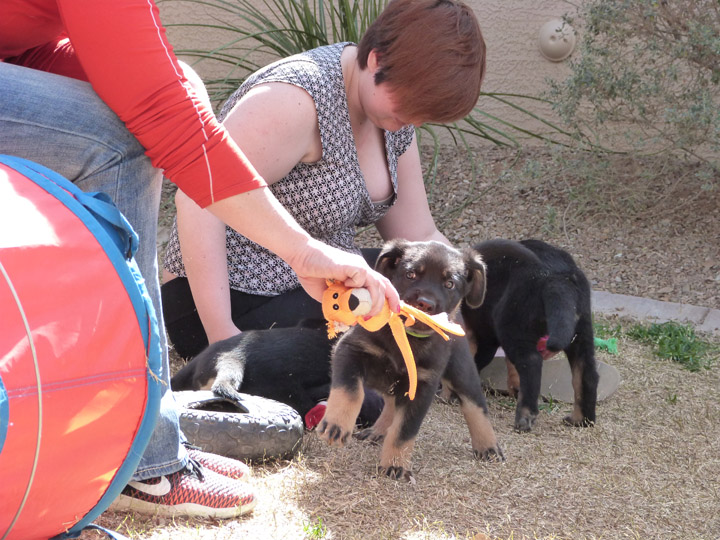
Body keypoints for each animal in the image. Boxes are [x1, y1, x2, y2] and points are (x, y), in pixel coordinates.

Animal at [318, 240, 504, 480]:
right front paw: (337, 424)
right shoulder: (349, 350)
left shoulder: (423, 386)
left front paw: (395, 464)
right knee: (390, 403)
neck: (407, 338)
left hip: (462, 372)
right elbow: (350, 391)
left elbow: (405, 431)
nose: (425, 304)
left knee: (476, 406)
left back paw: (488, 447)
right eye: (411, 274)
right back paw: (378, 431)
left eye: (449, 284)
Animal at [462, 238, 600, 432]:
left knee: (532, 364)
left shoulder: (486, 338)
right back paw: (581, 420)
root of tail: (556, 277)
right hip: (581, 332)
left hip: (513, 327)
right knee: (586, 372)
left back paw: (524, 417)